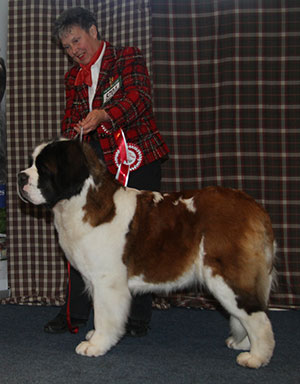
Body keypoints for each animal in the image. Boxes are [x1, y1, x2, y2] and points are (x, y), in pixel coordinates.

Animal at [17, 139, 276, 368]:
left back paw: (256, 357)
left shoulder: (107, 281)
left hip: (225, 276)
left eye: (44, 168)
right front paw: (95, 337)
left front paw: (96, 344)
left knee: (257, 316)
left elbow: (103, 313)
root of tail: (253, 205)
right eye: (31, 163)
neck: (81, 200)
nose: (20, 176)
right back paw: (243, 344)